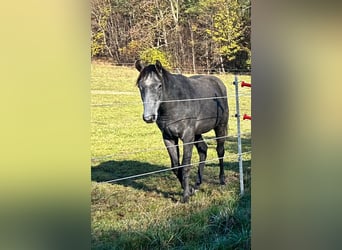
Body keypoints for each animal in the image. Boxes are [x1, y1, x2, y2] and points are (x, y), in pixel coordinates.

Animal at [135, 60, 228, 203]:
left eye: (159, 85)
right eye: (140, 86)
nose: (149, 117)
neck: (176, 103)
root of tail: (219, 83)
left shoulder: (187, 137)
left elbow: (185, 165)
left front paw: (185, 197)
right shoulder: (169, 138)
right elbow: (175, 166)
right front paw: (189, 190)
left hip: (220, 127)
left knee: (220, 151)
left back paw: (222, 180)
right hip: (197, 133)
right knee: (203, 150)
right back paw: (197, 184)